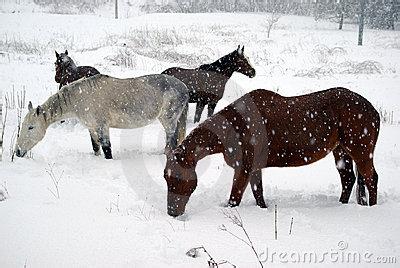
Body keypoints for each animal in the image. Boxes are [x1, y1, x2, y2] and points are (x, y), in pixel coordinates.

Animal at [15, 73, 189, 159]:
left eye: (31, 127)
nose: (17, 152)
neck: (81, 97)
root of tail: (184, 87)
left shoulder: (102, 126)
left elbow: (107, 148)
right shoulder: (92, 128)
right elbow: (96, 147)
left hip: (168, 120)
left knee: (171, 140)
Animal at [164, 87, 380, 217]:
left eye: (177, 178)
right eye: (166, 178)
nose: (172, 212)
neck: (235, 127)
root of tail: (372, 110)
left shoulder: (243, 169)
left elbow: (234, 199)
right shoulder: (254, 168)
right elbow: (258, 193)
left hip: (360, 152)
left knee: (371, 179)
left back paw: (373, 209)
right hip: (341, 152)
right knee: (348, 179)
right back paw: (341, 205)